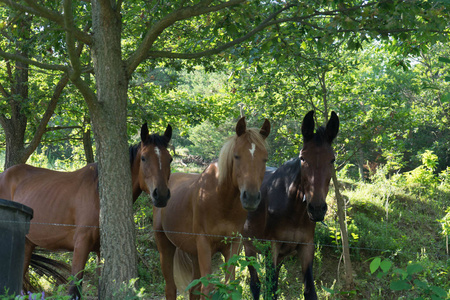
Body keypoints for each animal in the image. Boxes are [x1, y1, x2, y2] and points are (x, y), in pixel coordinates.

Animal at [0, 122, 172, 298]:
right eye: (144, 158)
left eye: (170, 159)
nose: (161, 195)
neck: (98, 194)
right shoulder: (81, 244)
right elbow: (74, 288)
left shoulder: (100, 251)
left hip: (27, 244)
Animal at [153, 118, 270, 300]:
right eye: (237, 156)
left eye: (265, 159)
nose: (250, 197)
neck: (221, 200)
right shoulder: (204, 244)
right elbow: (207, 288)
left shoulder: (233, 245)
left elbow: (229, 286)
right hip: (165, 246)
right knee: (171, 287)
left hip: (193, 254)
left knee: (194, 288)